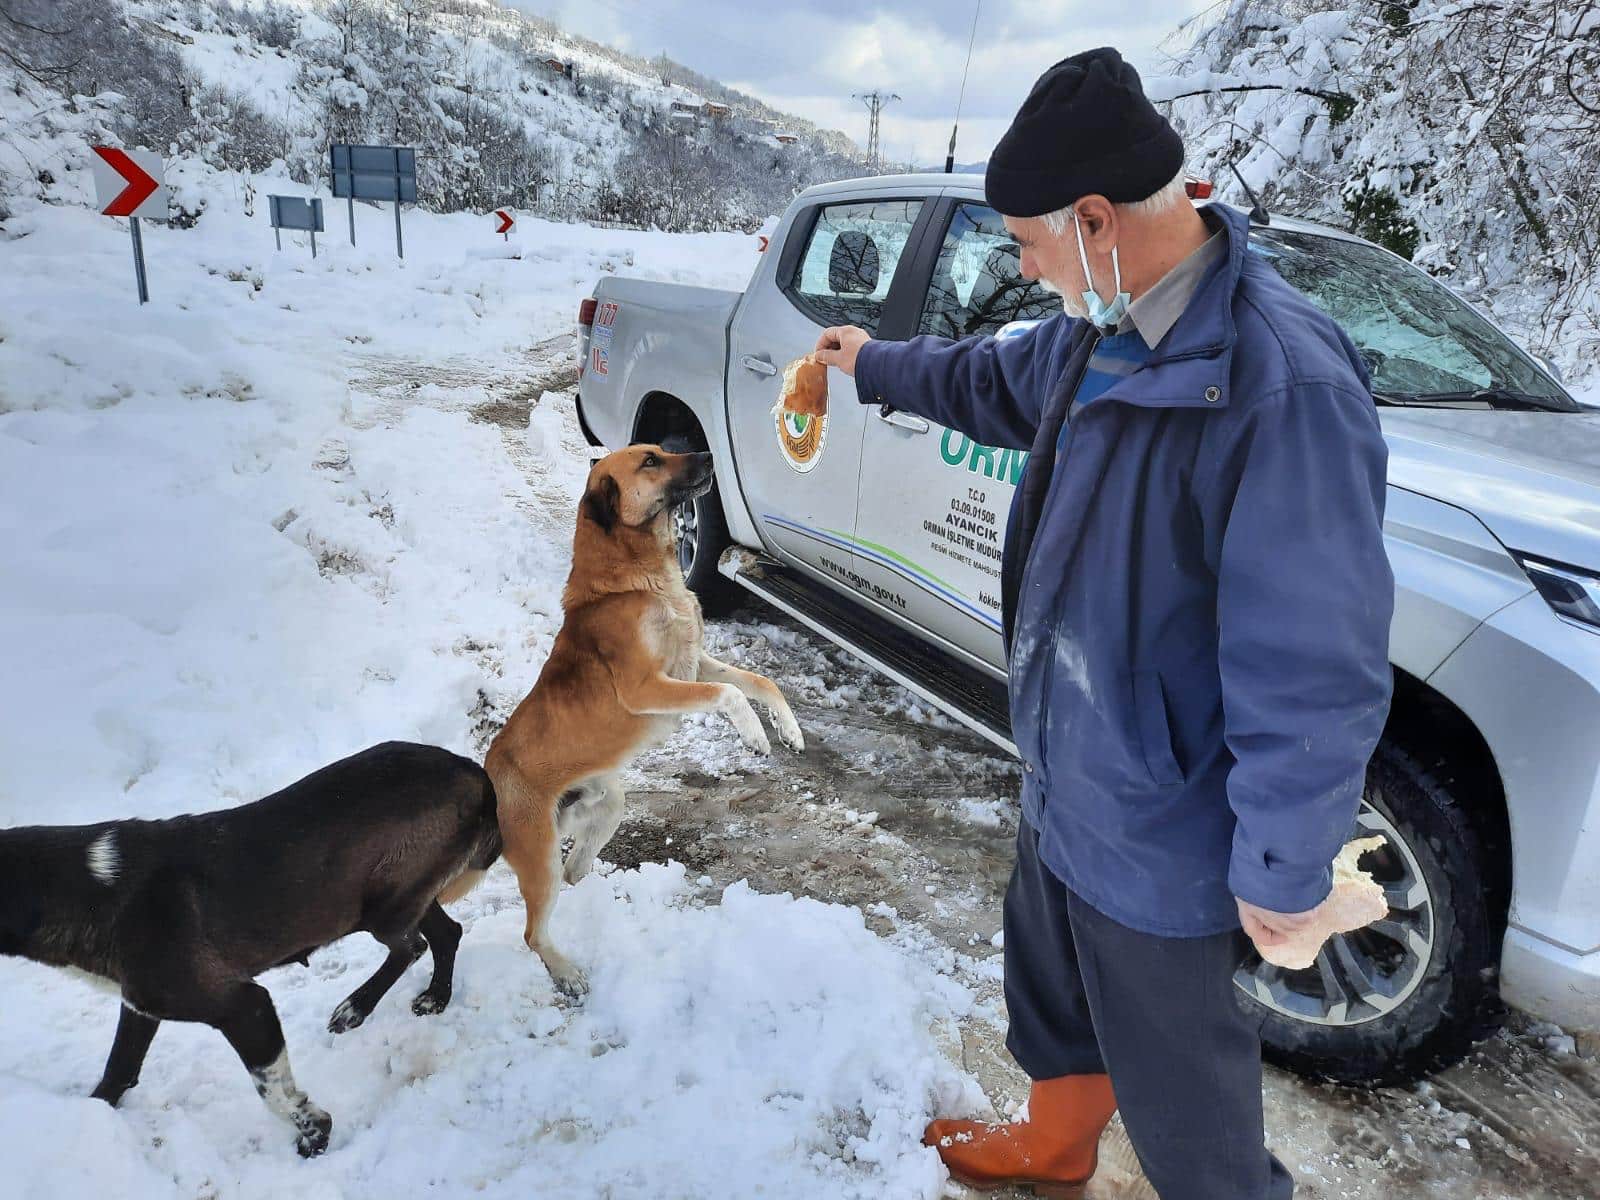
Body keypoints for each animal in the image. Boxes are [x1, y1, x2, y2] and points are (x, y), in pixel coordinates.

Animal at [0, 742, 499, 1158]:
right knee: (444, 934)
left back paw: (372, 1004)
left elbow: (272, 1092)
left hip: (385, 906)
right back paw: (414, 999)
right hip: (402, 897)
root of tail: (470, 768)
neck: (93, 888)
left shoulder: (243, 1005)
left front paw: (316, 1133)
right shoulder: (141, 1004)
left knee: (414, 945)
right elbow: (118, 1070)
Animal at [476, 444, 796, 998]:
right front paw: (754, 735)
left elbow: (759, 682)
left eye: (665, 450)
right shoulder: (647, 685)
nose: (708, 451)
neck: (639, 582)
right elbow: (729, 693)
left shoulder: (694, 662)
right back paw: (566, 972)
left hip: (607, 807)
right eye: (650, 460)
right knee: (533, 931)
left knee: (575, 869)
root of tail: (488, 779)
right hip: (539, 857)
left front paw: (788, 728)